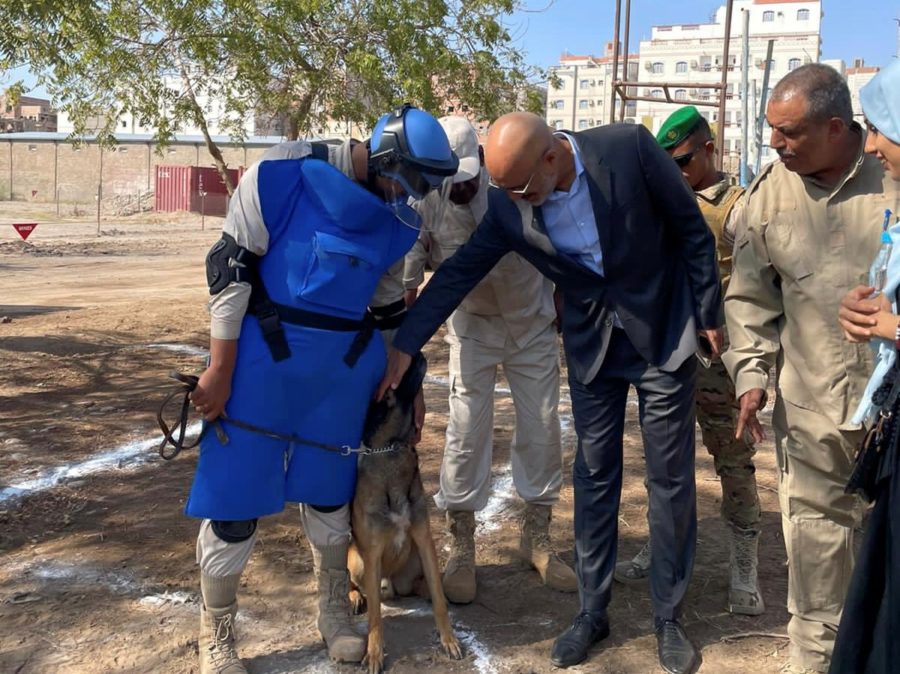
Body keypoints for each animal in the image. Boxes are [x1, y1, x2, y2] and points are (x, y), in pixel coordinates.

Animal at [348, 354, 464, 668]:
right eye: (391, 386)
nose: (419, 355)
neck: (392, 449)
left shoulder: (424, 540)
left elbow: (439, 597)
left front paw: (448, 639)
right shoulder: (371, 553)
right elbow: (376, 618)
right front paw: (374, 652)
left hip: (412, 562)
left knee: (425, 587)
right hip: (357, 561)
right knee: (358, 587)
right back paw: (354, 597)